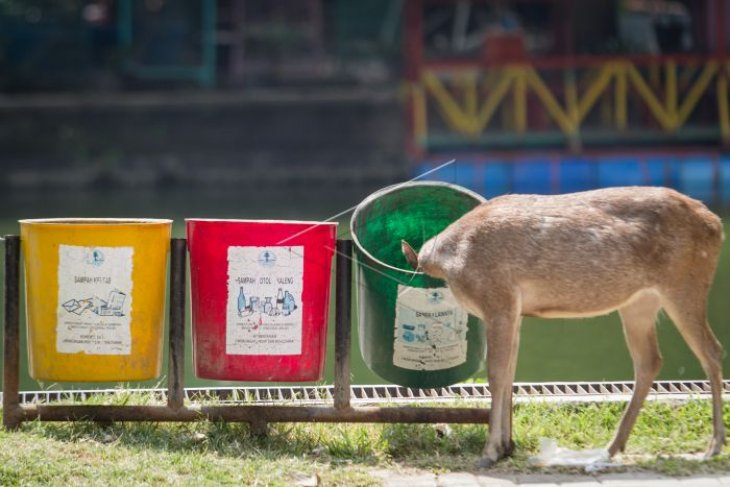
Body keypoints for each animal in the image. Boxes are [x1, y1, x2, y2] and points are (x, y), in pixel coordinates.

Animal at [400, 187, 724, 468]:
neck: (449, 258)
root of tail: (716, 224)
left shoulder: (498, 300)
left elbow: (496, 375)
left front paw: (490, 452)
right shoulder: (516, 313)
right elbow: (509, 375)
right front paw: (505, 447)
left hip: (684, 282)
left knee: (711, 350)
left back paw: (713, 446)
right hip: (640, 301)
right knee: (650, 360)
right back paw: (611, 448)